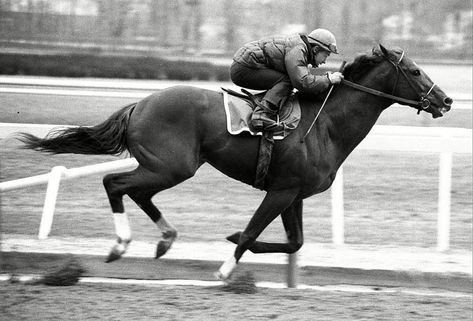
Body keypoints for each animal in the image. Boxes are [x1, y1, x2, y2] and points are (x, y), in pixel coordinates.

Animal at [18, 43, 452, 278]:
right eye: (415, 71)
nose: (446, 100)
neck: (325, 124)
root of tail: (140, 104)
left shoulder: (292, 194)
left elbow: (293, 242)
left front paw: (233, 244)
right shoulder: (281, 191)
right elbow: (251, 233)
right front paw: (226, 269)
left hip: (166, 167)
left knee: (135, 192)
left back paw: (163, 239)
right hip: (171, 166)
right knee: (115, 184)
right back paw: (122, 244)